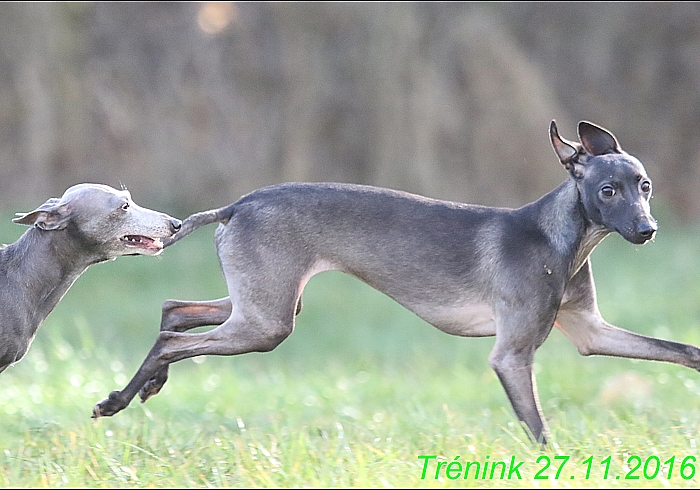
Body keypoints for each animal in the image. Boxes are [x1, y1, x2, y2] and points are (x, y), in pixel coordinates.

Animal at [94, 121, 696, 444]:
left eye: (644, 185)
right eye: (608, 191)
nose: (647, 231)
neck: (558, 238)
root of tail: (237, 205)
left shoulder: (591, 332)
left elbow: (680, 349)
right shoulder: (510, 355)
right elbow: (538, 429)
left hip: (262, 307)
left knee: (174, 310)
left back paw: (142, 388)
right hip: (265, 323)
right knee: (172, 337)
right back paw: (119, 399)